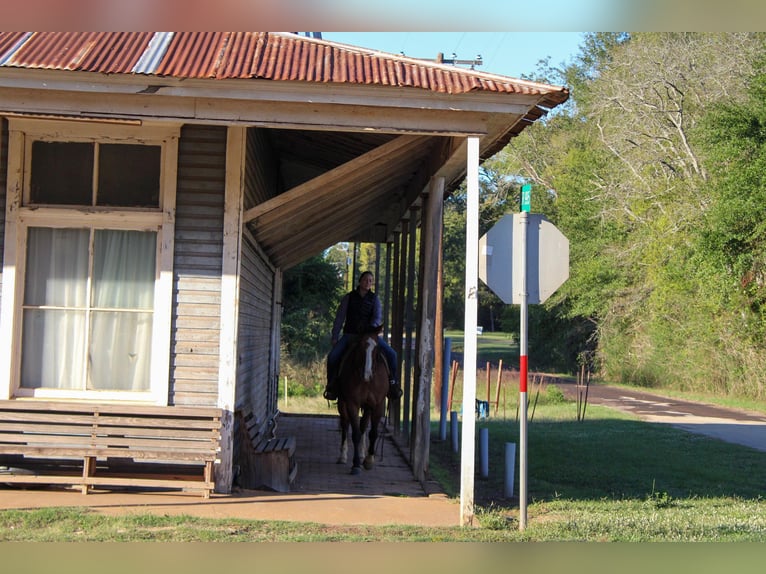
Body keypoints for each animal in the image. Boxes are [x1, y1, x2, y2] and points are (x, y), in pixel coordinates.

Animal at [338, 326, 390, 474]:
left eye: (377, 347)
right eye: (360, 346)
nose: (367, 374)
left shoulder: (378, 404)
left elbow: (373, 432)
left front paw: (368, 460)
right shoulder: (352, 404)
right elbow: (355, 433)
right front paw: (356, 464)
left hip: (367, 407)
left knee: (364, 425)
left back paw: (362, 454)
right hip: (342, 404)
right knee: (345, 425)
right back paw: (343, 456)